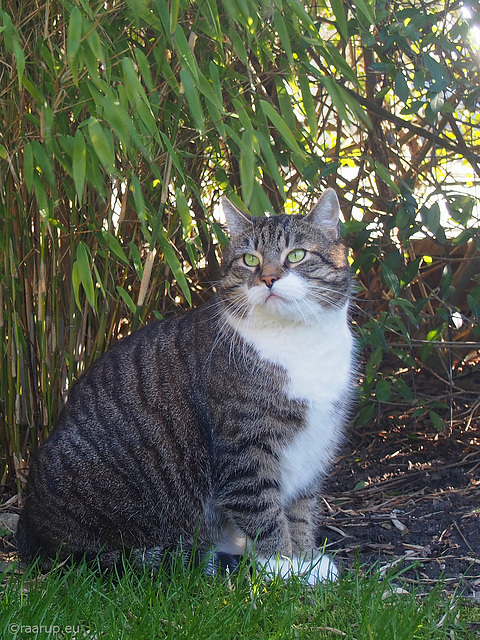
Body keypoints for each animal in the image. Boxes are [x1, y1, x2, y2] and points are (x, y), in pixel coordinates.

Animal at [15, 186, 356, 584]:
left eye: (297, 255)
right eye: (251, 260)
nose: (269, 278)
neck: (300, 344)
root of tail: (28, 530)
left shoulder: (313, 446)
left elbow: (300, 510)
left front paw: (306, 561)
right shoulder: (245, 446)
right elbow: (263, 511)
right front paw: (282, 566)